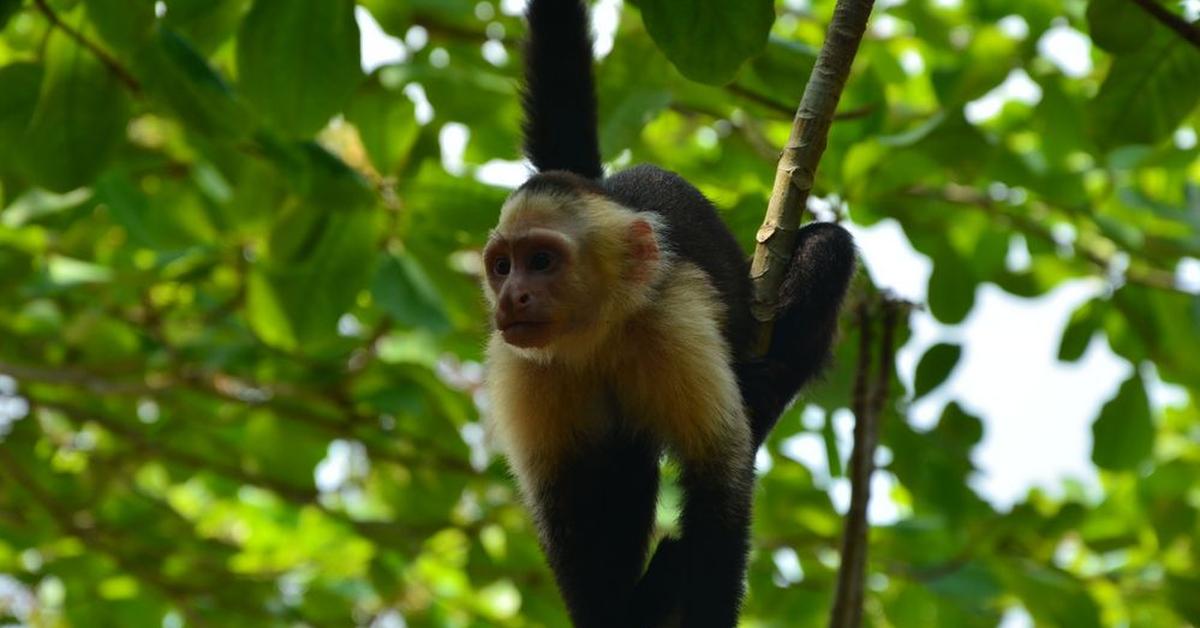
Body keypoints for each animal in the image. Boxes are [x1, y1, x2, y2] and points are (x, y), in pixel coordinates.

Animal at [477, 2, 854, 624]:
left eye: (541, 261)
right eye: (503, 267)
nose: (513, 297)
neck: (597, 337)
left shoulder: (673, 323)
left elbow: (717, 489)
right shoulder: (522, 366)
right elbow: (565, 516)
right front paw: (609, 614)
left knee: (830, 248)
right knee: (618, 468)